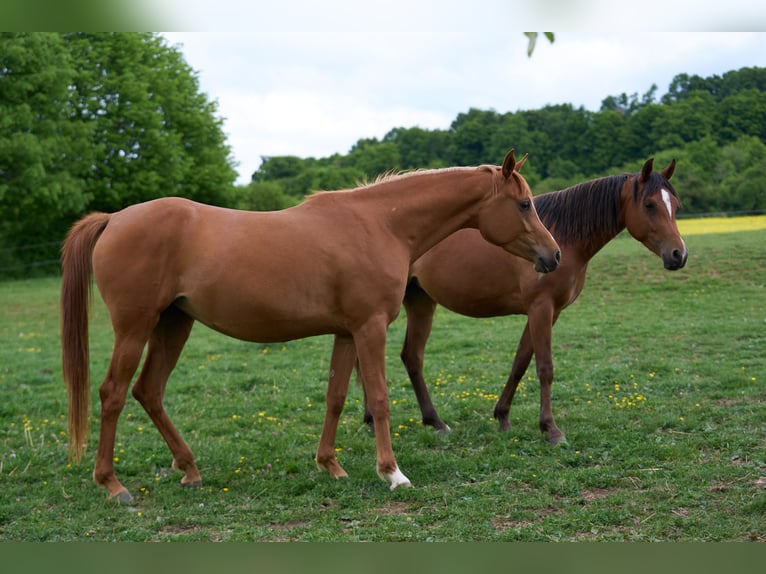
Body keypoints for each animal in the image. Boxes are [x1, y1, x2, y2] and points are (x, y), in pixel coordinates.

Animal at [60, 149, 561, 502]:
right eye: (523, 204)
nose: (553, 256)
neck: (380, 225)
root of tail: (114, 219)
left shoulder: (346, 332)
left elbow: (336, 398)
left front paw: (330, 466)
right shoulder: (370, 328)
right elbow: (379, 399)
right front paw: (392, 473)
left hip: (173, 325)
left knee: (149, 391)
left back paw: (189, 469)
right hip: (135, 328)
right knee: (113, 393)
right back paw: (113, 485)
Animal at [372, 157, 686, 444]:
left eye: (676, 204)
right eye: (649, 205)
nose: (678, 255)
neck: (563, 238)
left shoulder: (549, 312)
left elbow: (521, 362)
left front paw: (502, 416)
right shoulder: (541, 308)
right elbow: (544, 367)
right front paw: (551, 428)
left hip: (420, 302)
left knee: (410, 357)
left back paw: (425, 421)